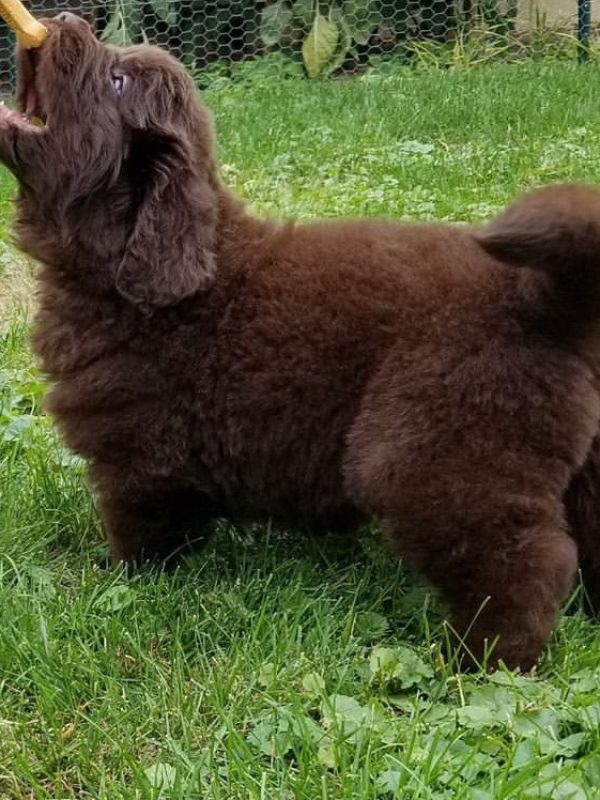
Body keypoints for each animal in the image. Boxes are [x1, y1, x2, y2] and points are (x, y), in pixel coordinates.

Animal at [1, 15, 600, 672]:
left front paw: (119, 579)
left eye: (117, 81)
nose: (64, 20)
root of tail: (544, 299)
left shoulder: (136, 458)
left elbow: (141, 534)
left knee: (524, 560)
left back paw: (482, 660)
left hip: (436, 454)